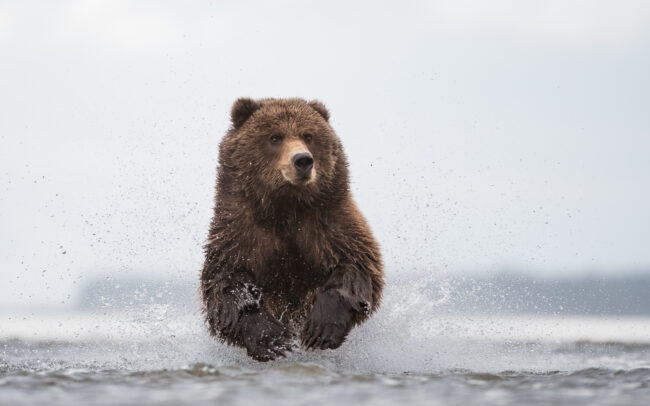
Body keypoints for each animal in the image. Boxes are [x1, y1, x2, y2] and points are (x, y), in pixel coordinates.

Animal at [200, 98, 384, 361]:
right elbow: (226, 287)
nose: (303, 160)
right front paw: (274, 340)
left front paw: (319, 330)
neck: (287, 209)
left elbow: (357, 267)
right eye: (275, 137)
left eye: (308, 135)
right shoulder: (238, 235)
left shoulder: (331, 226)